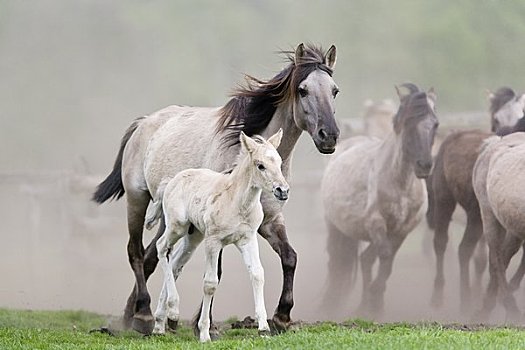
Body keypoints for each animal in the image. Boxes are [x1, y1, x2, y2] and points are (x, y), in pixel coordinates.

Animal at [145, 129, 288, 342]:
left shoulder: (247, 239)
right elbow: (210, 283)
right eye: (260, 165)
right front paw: (205, 333)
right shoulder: (213, 241)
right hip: (177, 226)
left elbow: (257, 274)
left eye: (279, 163)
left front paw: (264, 329)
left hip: (193, 236)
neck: (237, 202)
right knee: (161, 247)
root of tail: (171, 181)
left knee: (176, 263)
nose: (283, 191)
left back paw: (161, 324)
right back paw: (173, 311)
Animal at [320, 83, 438, 316]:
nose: (424, 166)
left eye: (435, 124)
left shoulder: (401, 230)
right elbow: (384, 256)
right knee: (337, 262)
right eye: (408, 123)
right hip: (335, 227)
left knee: (365, 259)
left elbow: (388, 261)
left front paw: (375, 302)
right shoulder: (376, 224)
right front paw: (374, 301)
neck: (400, 184)